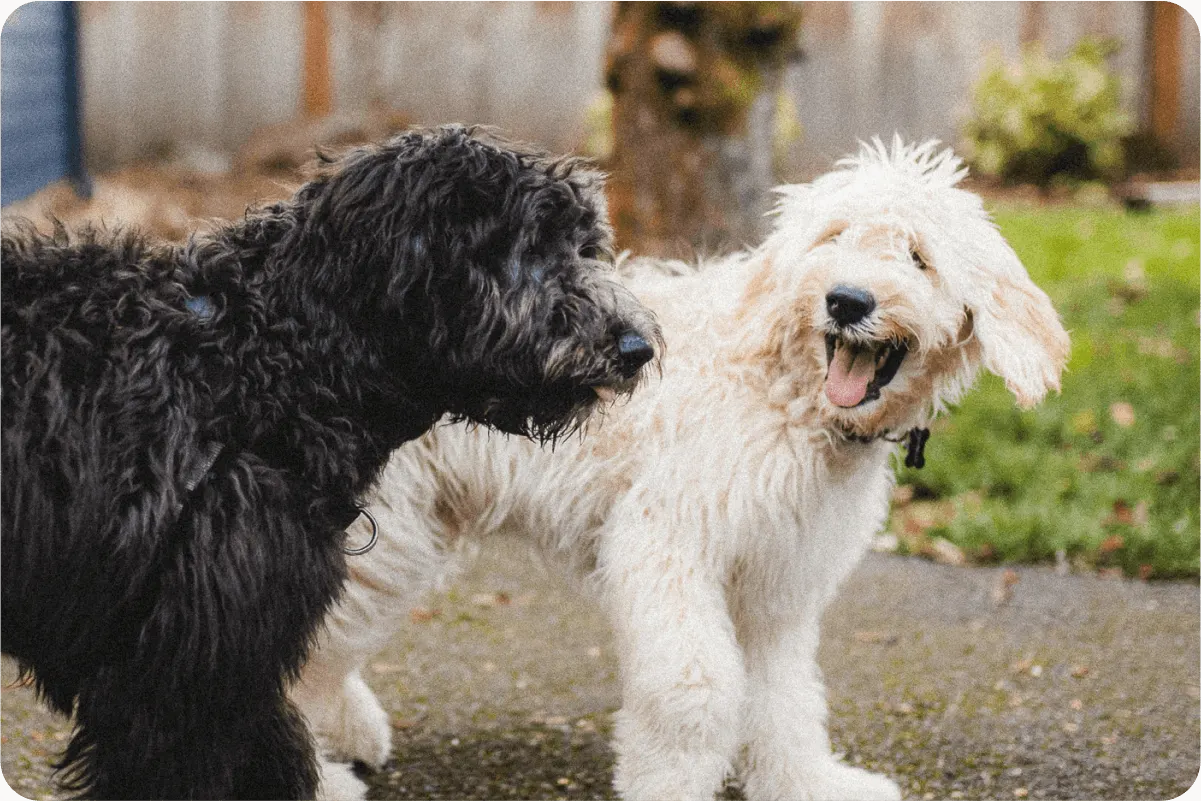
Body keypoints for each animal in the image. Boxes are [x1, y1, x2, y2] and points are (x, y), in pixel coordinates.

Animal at [0, 128, 662, 797]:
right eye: (527, 245)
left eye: (584, 246)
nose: (636, 348)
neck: (256, 367)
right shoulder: (181, 677)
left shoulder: (226, 666)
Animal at [297, 141, 1071, 797]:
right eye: (833, 238)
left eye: (917, 256)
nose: (847, 300)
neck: (784, 393)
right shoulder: (667, 541)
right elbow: (693, 690)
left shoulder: (777, 581)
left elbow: (784, 697)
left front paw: (804, 782)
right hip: (383, 536)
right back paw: (325, 775)